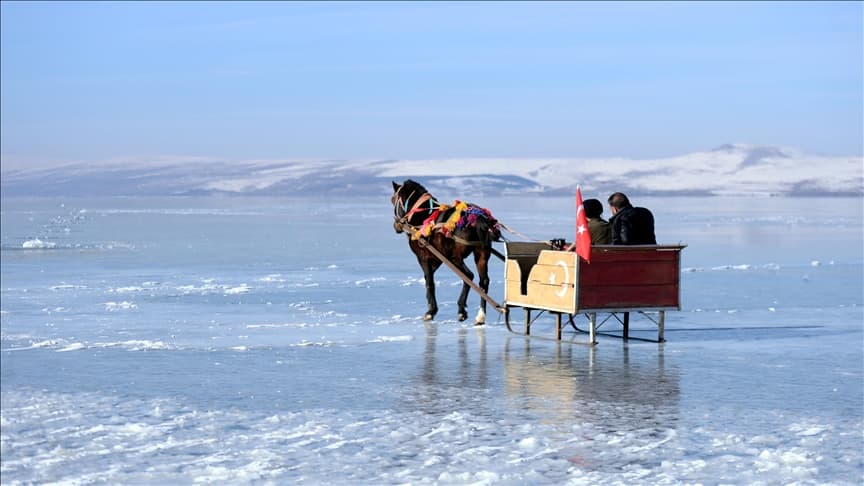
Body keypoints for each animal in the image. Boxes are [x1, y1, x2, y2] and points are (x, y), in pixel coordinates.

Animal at [391, 179, 501, 325]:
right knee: (484, 281)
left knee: (468, 276)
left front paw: (430, 312)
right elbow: (429, 278)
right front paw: (431, 307)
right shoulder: (438, 258)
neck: (422, 217)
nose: (396, 226)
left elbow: (429, 282)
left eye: (393, 200)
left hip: (455, 258)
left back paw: (461, 310)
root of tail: (478, 219)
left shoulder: (423, 257)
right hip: (481, 254)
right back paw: (480, 316)